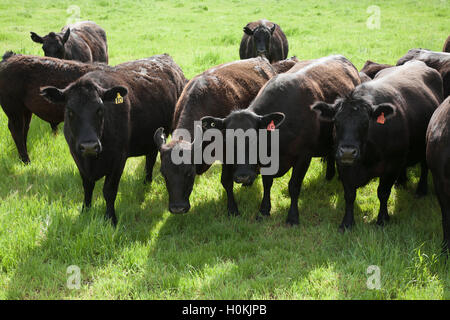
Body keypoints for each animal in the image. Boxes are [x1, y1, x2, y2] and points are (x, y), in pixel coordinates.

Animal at [39, 54, 186, 225]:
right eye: (69, 111)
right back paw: (145, 182)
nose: (89, 146)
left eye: (100, 109)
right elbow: (87, 186)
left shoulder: (118, 159)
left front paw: (111, 219)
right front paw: (85, 211)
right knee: (150, 157)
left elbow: (109, 190)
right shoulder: (77, 156)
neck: (93, 161)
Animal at [202, 55, 360, 225]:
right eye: (227, 141)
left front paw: (292, 217)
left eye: (256, 139)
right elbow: (267, 183)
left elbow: (294, 186)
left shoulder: (304, 156)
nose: (243, 176)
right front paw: (264, 210)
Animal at [312, 60, 442, 230]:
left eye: (366, 123)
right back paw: (401, 182)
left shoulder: (392, 164)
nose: (348, 152)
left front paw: (382, 219)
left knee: (425, 167)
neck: (367, 157)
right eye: (336, 122)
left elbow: (383, 192)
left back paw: (421, 189)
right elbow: (349, 195)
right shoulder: (343, 166)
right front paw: (347, 223)